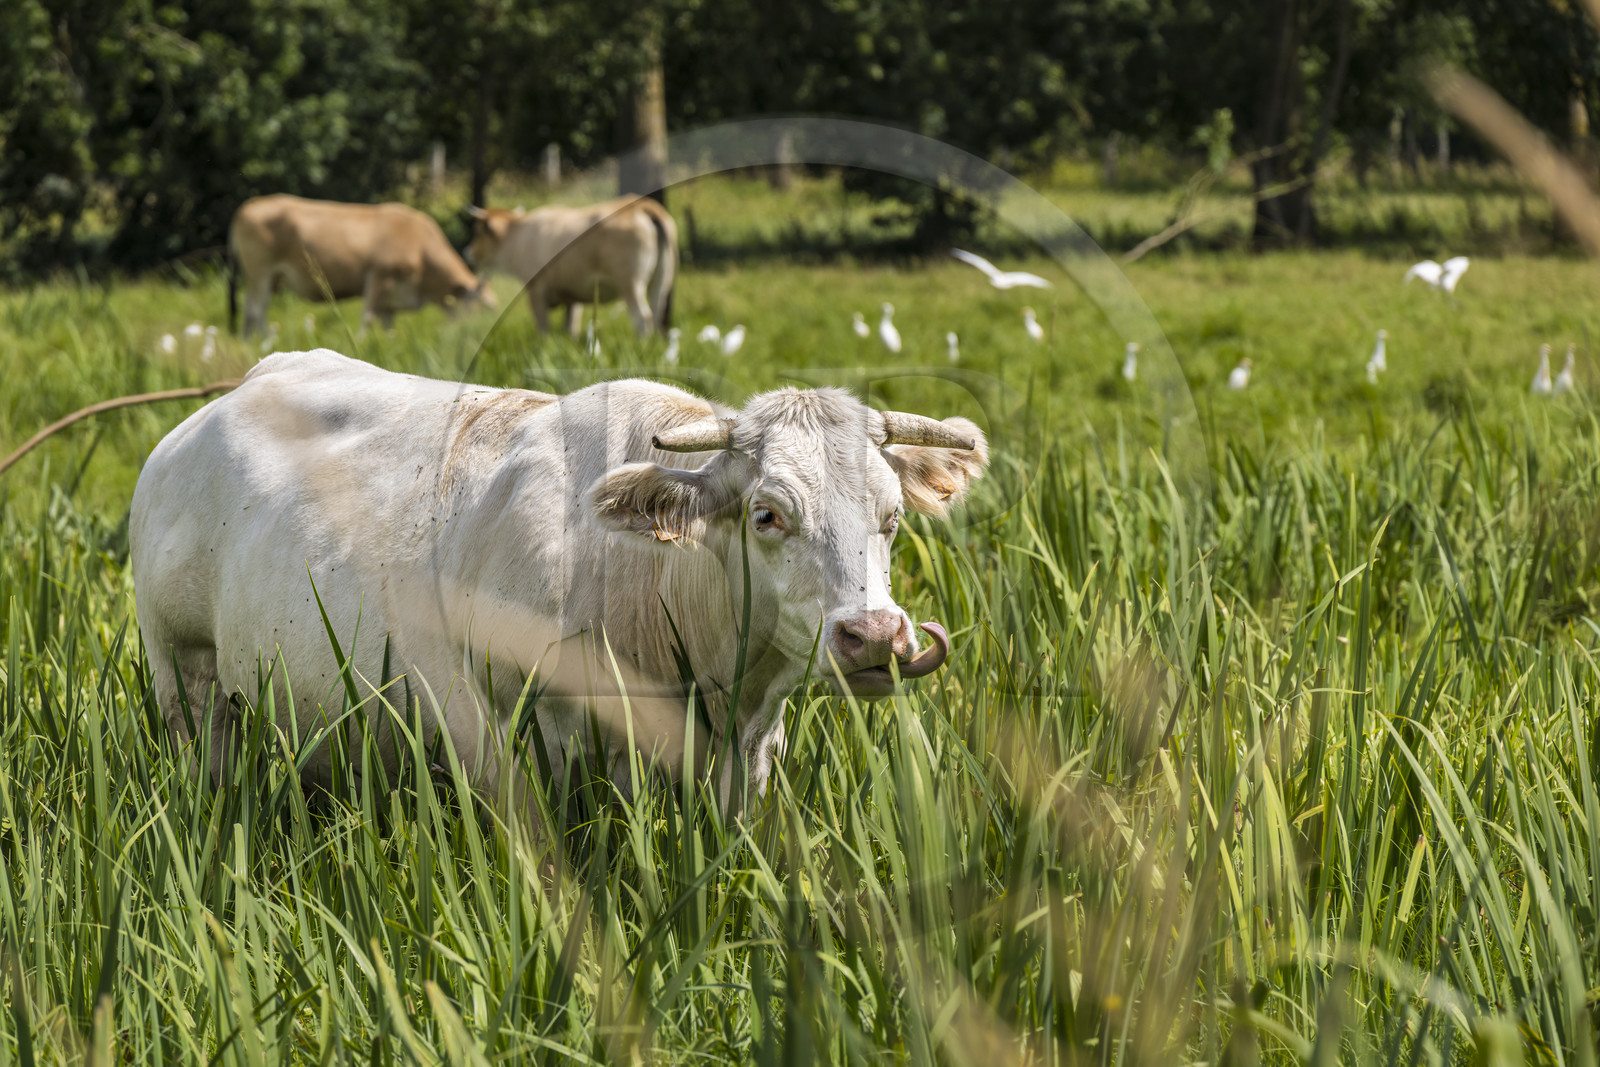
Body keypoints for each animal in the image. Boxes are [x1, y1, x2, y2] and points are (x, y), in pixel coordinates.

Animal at [129, 349, 986, 809]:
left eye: (891, 516)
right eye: (768, 514)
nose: (874, 635)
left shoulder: (751, 758)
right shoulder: (552, 734)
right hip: (184, 679)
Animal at [228, 195, 496, 338]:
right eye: (482, 307)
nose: (475, 332)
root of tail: (251, 204)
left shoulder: (392, 302)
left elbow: (388, 328)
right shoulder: (379, 277)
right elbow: (367, 317)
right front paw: (362, 344)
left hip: (263, 279)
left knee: (249, 312)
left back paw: (249, 342)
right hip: (260, 273)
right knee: (257, 310)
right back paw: (267, 339)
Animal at [466, 196, 678, 337]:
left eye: (477, 232)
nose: (468, 253)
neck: (516, 236)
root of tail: (642, 205)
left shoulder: (536, 290)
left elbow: (543, 330)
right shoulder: (573, 294)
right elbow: (571, 328)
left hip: (629, 283)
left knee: (642, 318)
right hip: (662, 281)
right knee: (658, 313)